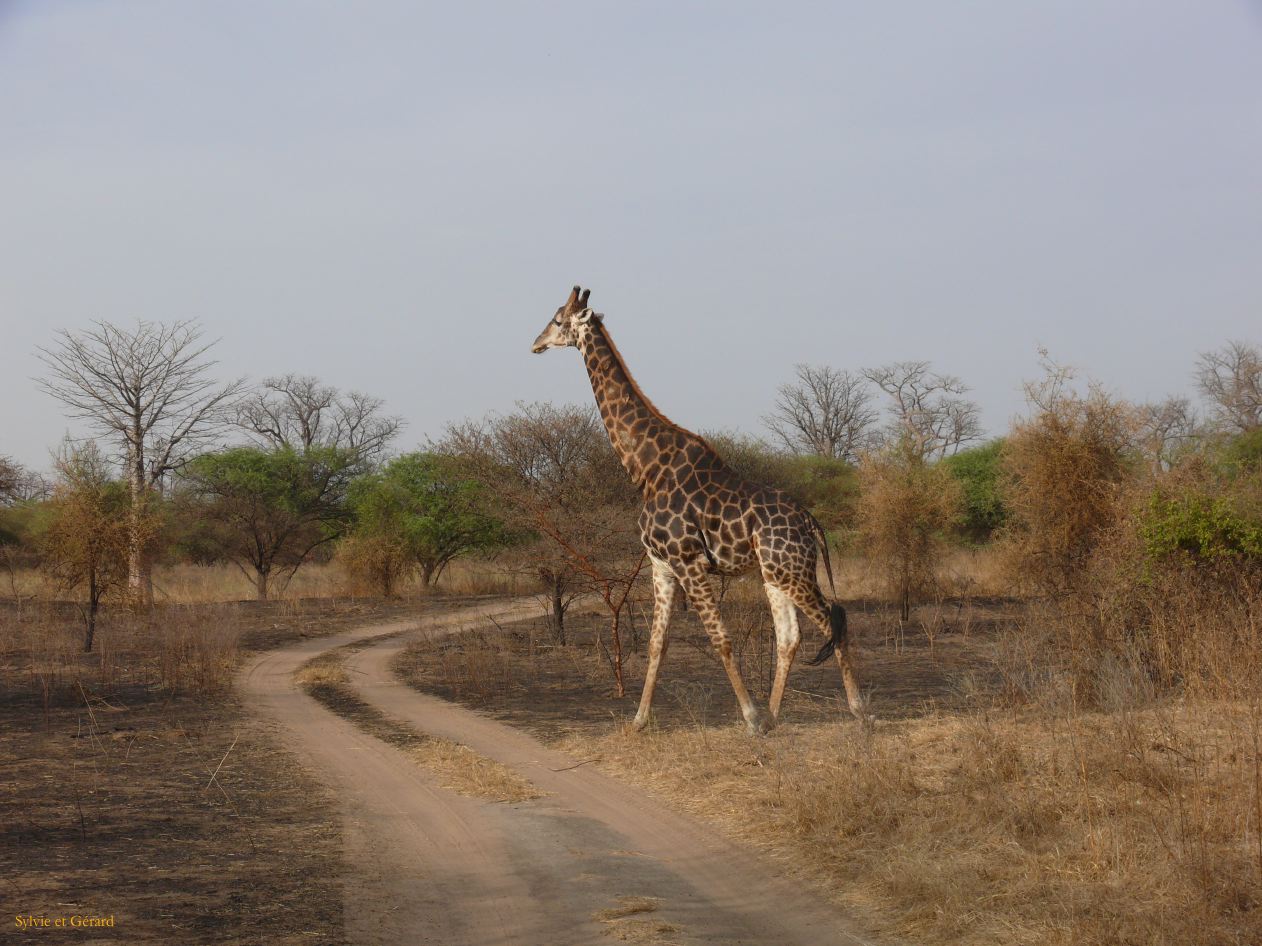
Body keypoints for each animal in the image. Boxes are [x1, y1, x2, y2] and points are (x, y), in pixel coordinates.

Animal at [531, 286, 866, 734]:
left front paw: (750, 719)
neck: (645, 467)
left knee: (833, 621)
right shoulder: (661, 564)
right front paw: (638, 720)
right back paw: (776, 716)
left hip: (791, 571)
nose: (535, 344)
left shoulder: (688, 560)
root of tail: (812, 524)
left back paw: (858, 711)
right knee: (789, 636)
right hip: (775, 573)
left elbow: (721, 638)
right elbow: (657, 642)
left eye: (556, 320)